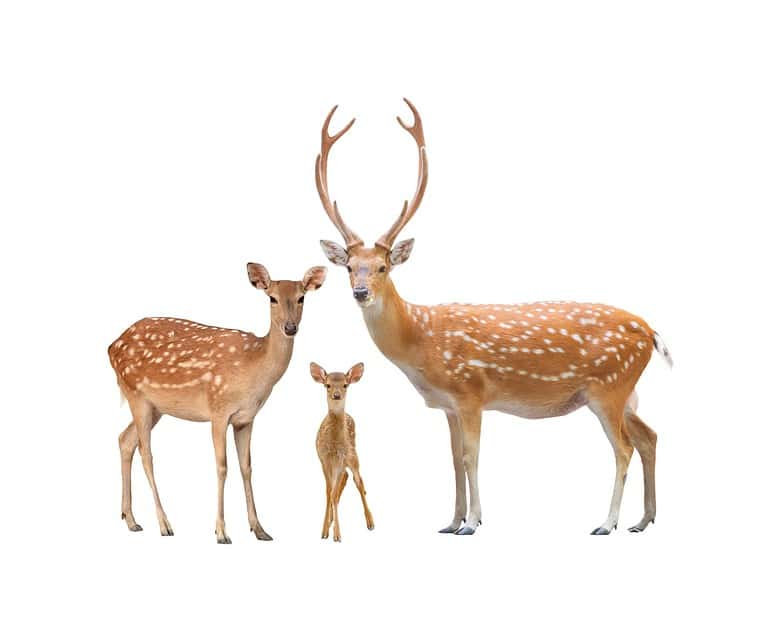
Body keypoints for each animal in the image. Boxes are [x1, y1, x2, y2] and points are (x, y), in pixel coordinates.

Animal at [108, 262, 327, 543]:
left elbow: (247, 467)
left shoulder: (246, 418)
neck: (253, 369)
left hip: (155, 407)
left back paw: (131, 520)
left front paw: (259, 529)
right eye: (272, 298)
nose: (290, 328)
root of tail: (111, 346)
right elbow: (222, 467)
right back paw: (164, 524)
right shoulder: (218, 410)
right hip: (136, 394)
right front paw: (221, 532)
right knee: (146, 454)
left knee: (125, 440)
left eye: (302, 298)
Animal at [310, 361, 374, 542]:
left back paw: (370, 522)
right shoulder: (323, 459)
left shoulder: (340, 459)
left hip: (352, 455)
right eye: (327, 385)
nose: (337, 395)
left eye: (345, 385)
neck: (333, 444)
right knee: (344, 480)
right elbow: (328, 493)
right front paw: (325, 531)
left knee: (358, 481)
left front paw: (336, 535)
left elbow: (333, 493)